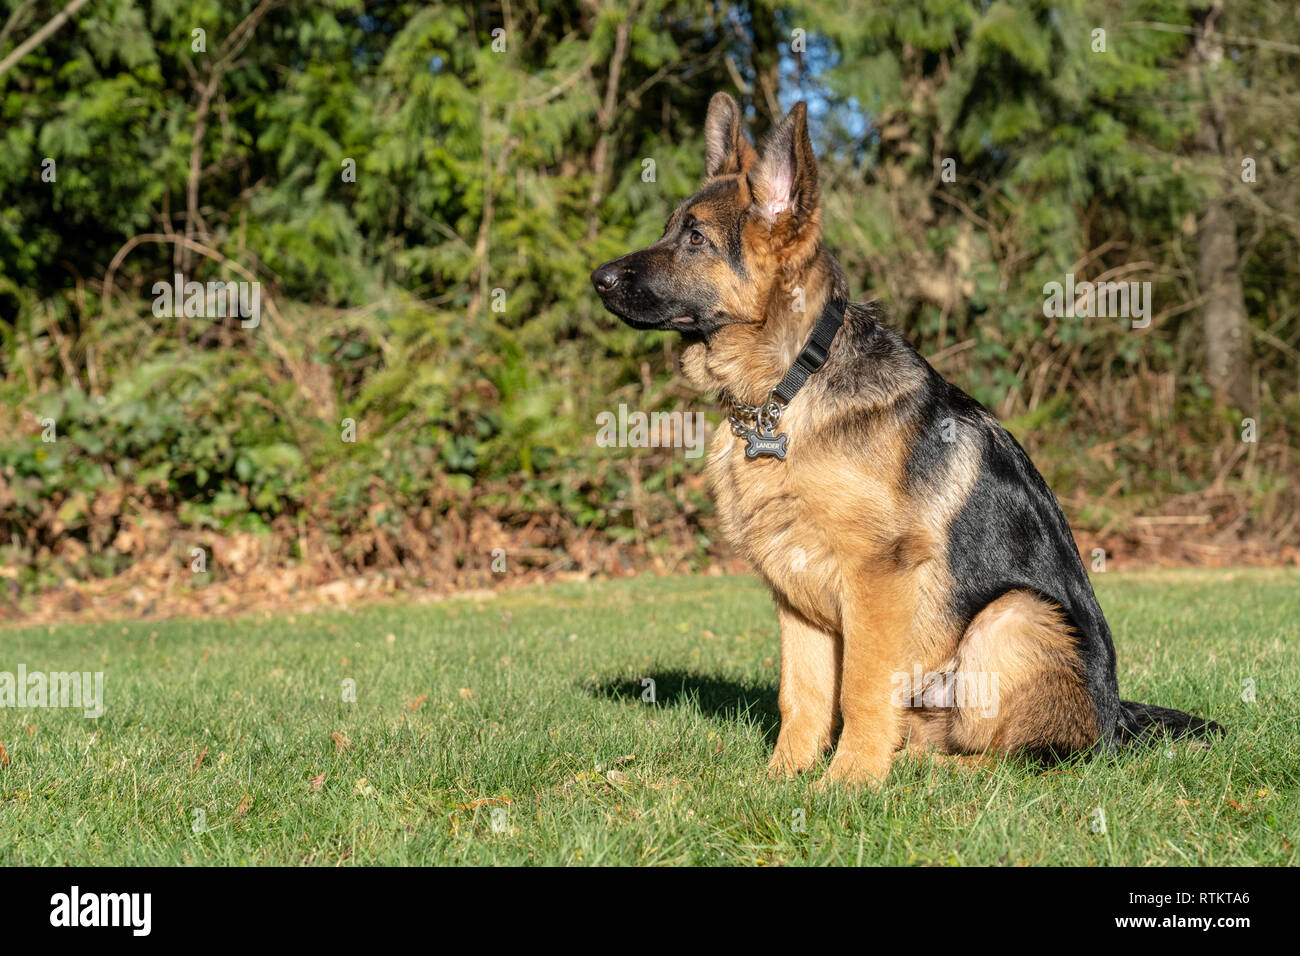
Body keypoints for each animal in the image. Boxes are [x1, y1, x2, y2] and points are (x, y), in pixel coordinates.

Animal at [590, 93, 1216, 790]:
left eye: (695, 237)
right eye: (671, 228)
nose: (598, 277)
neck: (792, 386)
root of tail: (1116, 722)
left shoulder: (876, 576)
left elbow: (860, 687)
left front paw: (848, 784)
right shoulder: (795, 593)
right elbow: (803, 693)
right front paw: (783, 779)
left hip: (1012, 616)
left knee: (1022, 757)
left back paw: (933, 772)